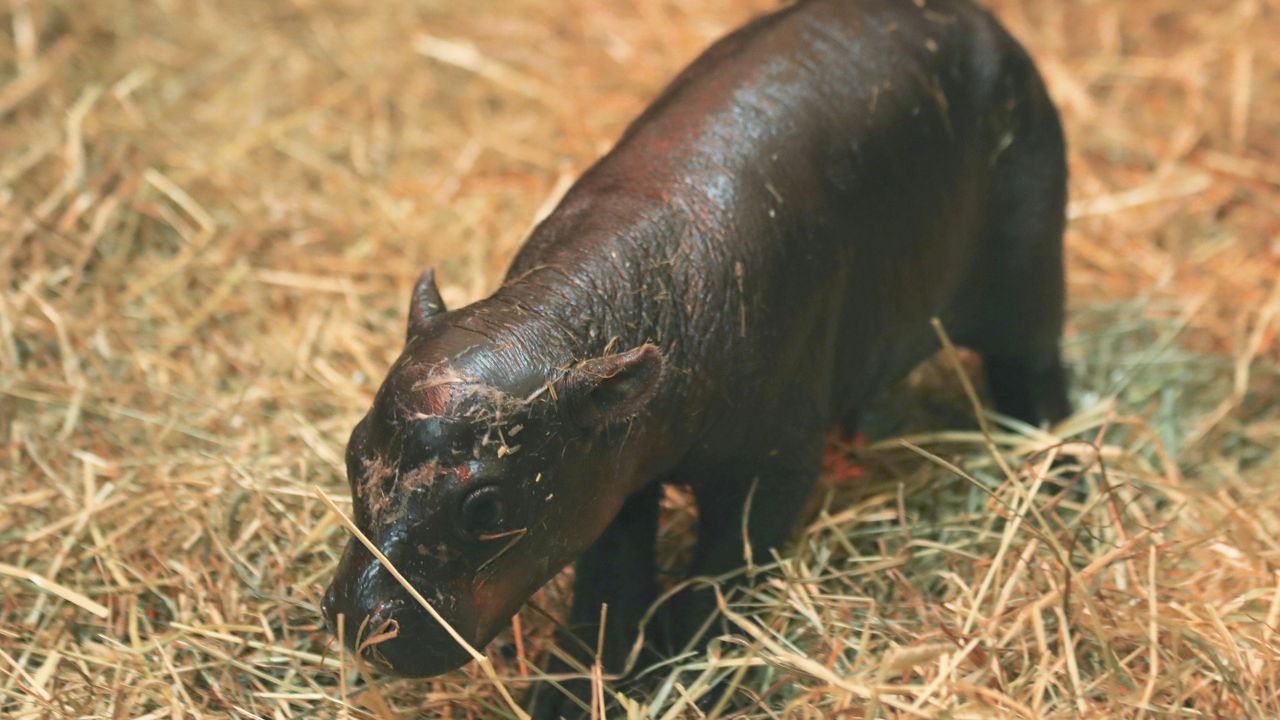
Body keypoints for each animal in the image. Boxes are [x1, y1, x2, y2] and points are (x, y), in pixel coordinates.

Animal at [320, 0, 1070, 707]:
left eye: (486, 506)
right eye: (353, 452)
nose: (358, 621)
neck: (563, 316)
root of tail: (984, 21)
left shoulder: (772, 468)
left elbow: (720, 574)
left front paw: (684, 676)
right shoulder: (612, 472)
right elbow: (609, 584)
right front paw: (569, 693)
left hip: (1029, 278)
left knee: (1037, 376)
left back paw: (1058, 483)